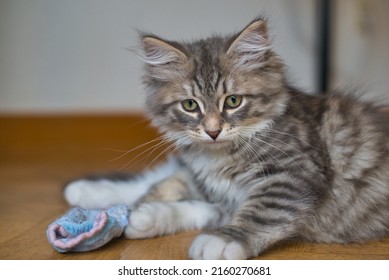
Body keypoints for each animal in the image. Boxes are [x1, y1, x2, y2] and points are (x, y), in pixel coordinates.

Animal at [63, 18, 388, 260]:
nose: (212, 130)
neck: (218, 158)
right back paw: (84, 190)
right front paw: (139, 214)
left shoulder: (294, 174)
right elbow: (171, 190)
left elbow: (256, 212)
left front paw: (218, 241)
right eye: (190, 105)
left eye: (232, 101)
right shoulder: (211, 183)